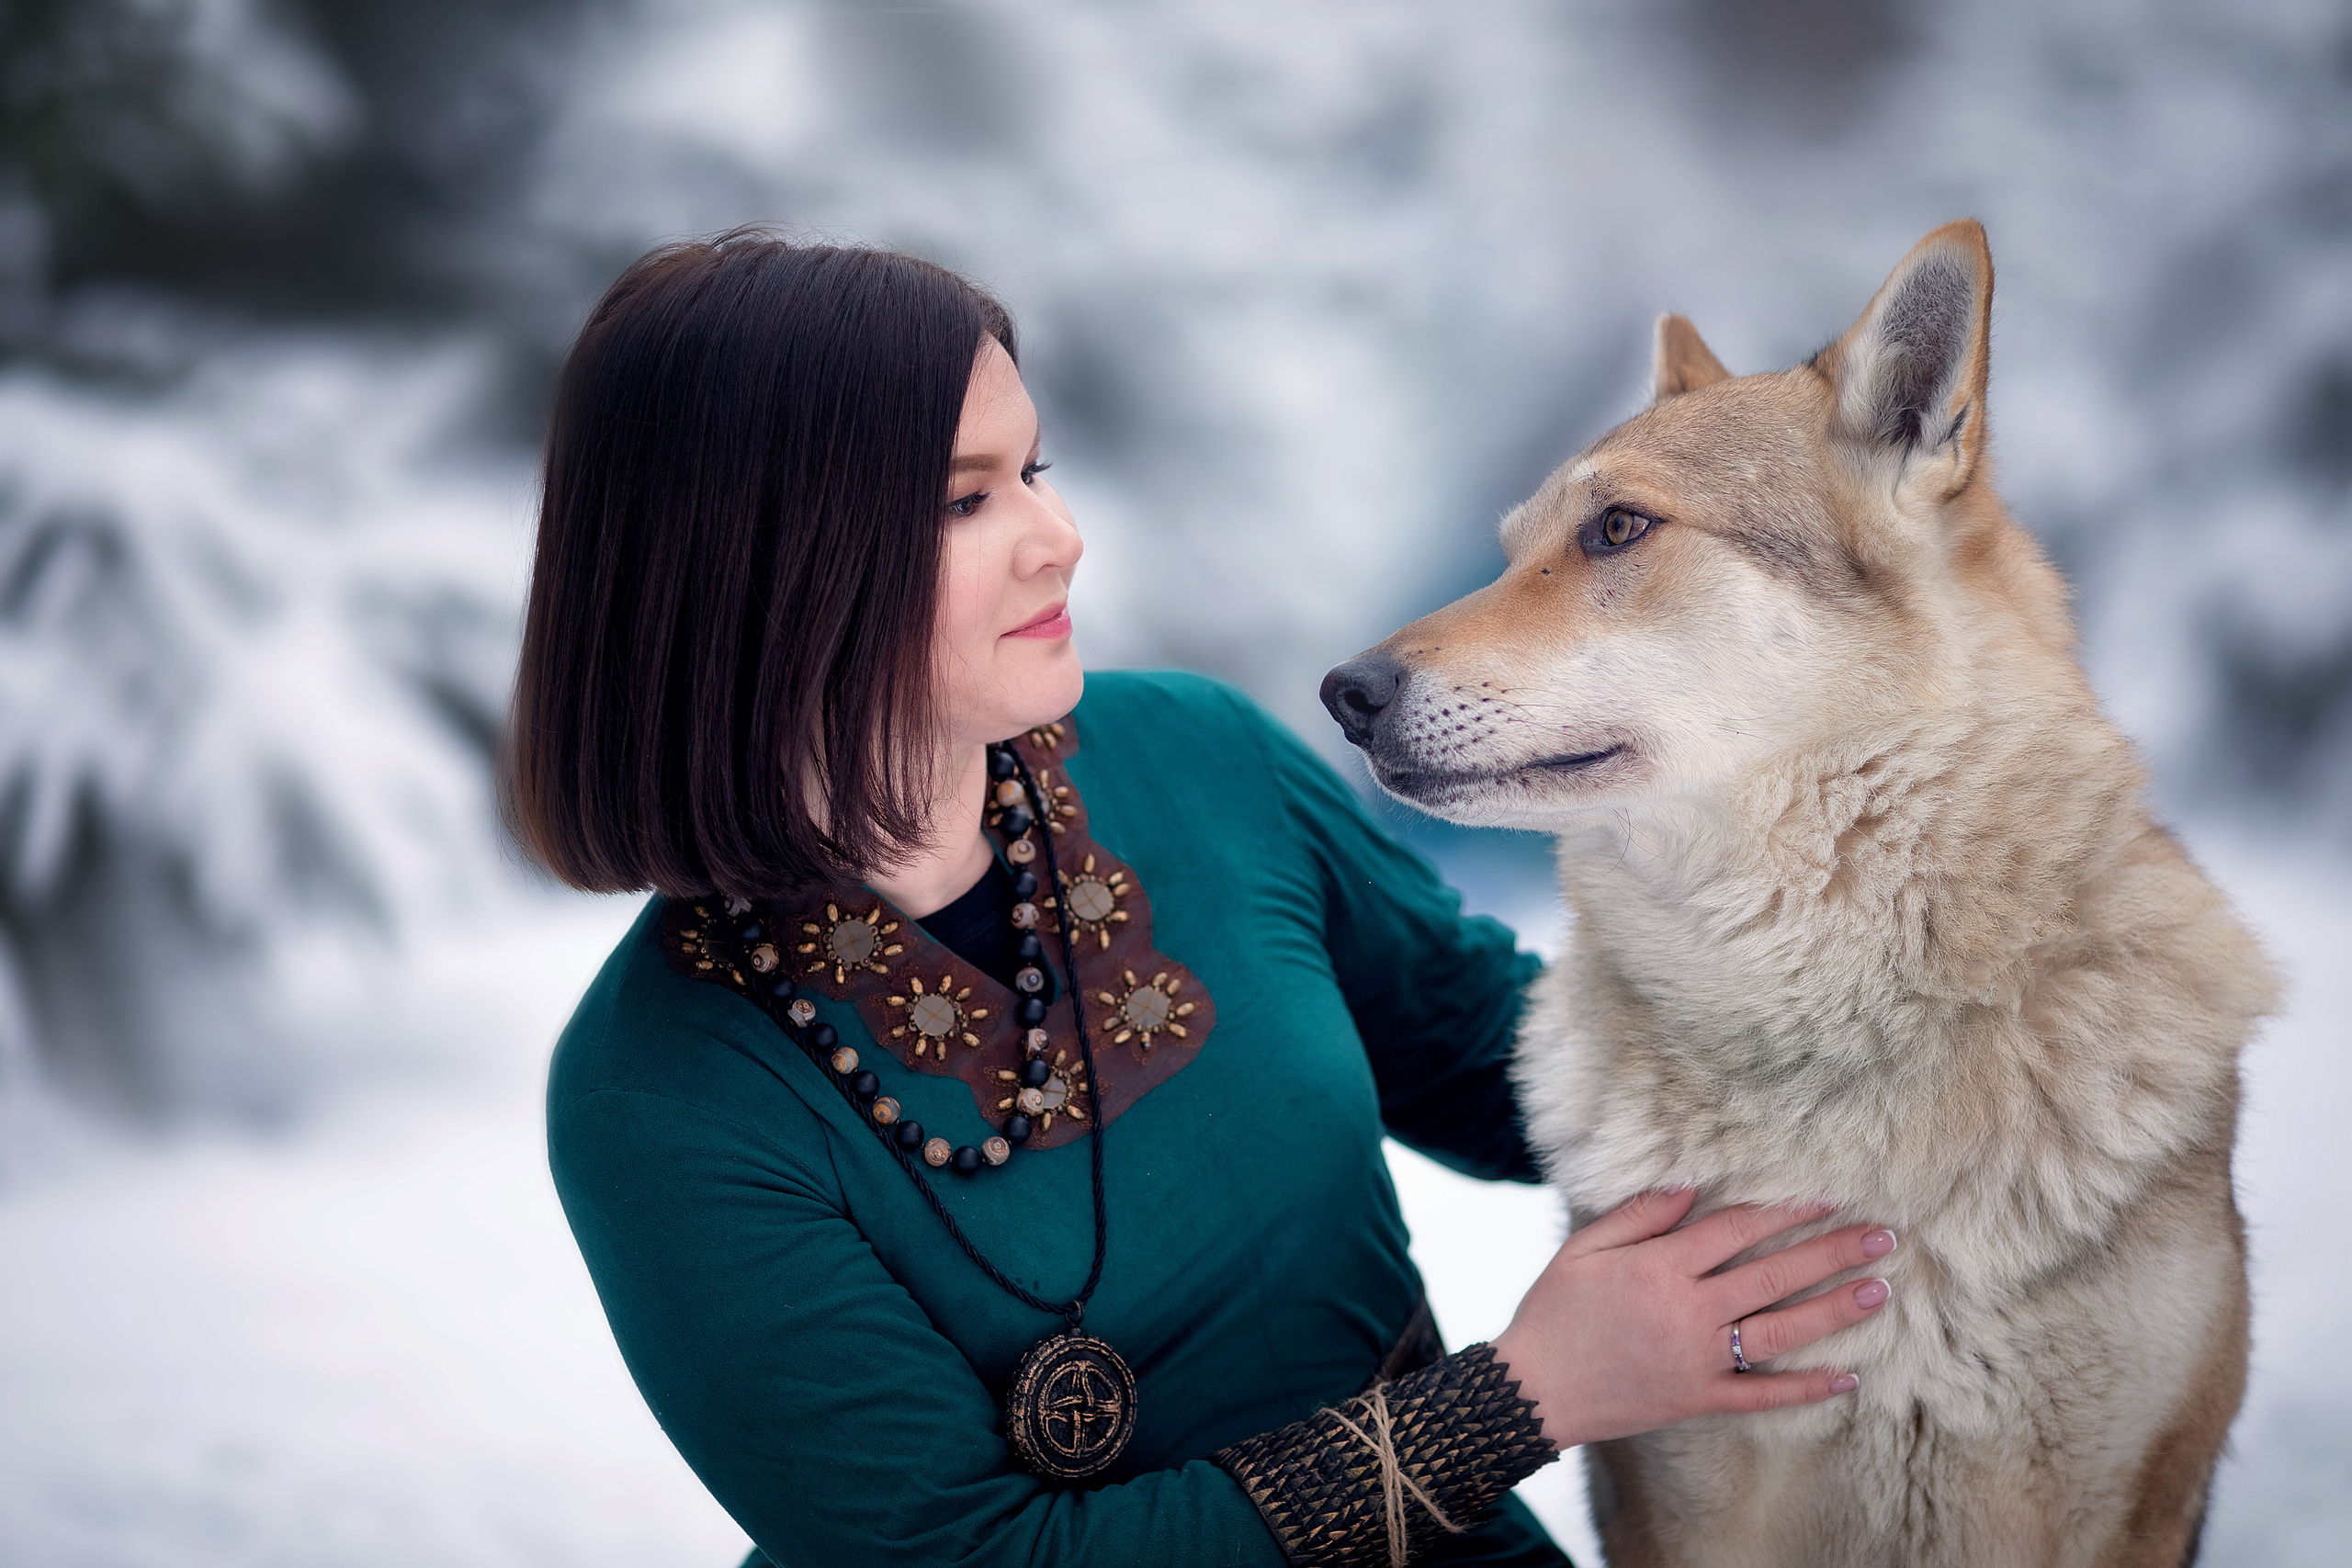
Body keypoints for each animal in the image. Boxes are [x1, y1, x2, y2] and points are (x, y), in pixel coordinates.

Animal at [1320, 222, 2274, 1567]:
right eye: (1510, 553)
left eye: (1618, 527)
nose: (1342, 693)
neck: (1840, 1037)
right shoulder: (1690, 1507)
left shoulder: (2115, 1512)